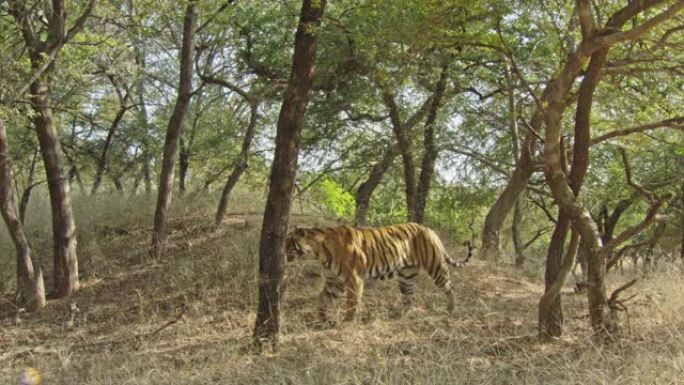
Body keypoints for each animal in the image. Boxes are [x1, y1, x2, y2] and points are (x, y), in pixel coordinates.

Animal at [286, 222, 472, 320]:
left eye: (289, 243)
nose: (282, 252)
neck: (319, 252)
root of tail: (429, 229)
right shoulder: (334, 282)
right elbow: (322, 298)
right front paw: (321, 318)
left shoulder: (353, 279)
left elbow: (351, 302)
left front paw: (348, 321)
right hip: (406, 275)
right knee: (410, 294)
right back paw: (401, 314)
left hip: (435, 266)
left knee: (450, 287)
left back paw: (451, 310)